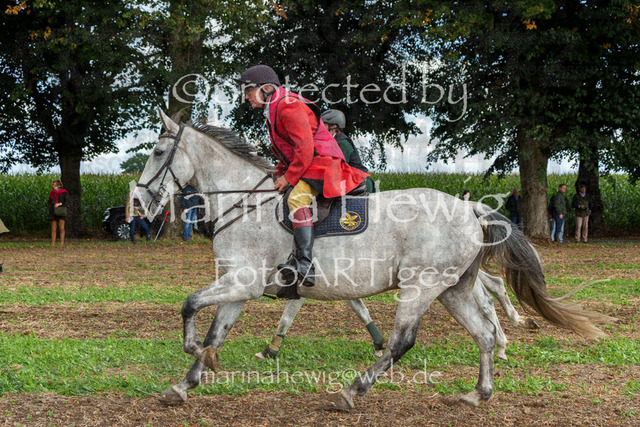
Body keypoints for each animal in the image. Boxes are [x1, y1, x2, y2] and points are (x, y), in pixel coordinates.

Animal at [134, 110, 611, 410]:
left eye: (157, 153)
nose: (138, 203)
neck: (244, 201)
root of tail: (469, 208)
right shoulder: (239, 287)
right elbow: (216, 331)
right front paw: (185, 383)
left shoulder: (243, 282)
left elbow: (190, 305)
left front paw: (192, 351)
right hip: (452, 289)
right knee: (483, 334)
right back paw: (479, 392)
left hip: (421, 287)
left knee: (405, 342)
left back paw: (351, 392)